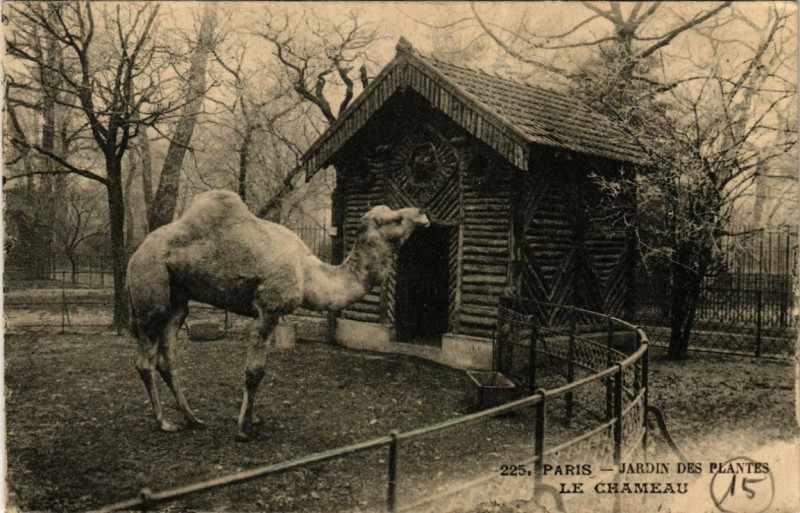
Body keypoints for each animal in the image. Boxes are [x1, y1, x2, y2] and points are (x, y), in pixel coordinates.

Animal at [127, 189, 430, 440]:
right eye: (396, 218)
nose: (422, 213)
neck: (309, 275)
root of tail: (134, 255)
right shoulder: (269, 307)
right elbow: (255, 371)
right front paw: (244, 429)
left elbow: (259, 370)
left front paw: (253, 419)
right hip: (151, 294)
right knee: (145, 361)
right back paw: (164, 422)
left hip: (178, 301)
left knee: (168, 358)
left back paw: (193, 419)